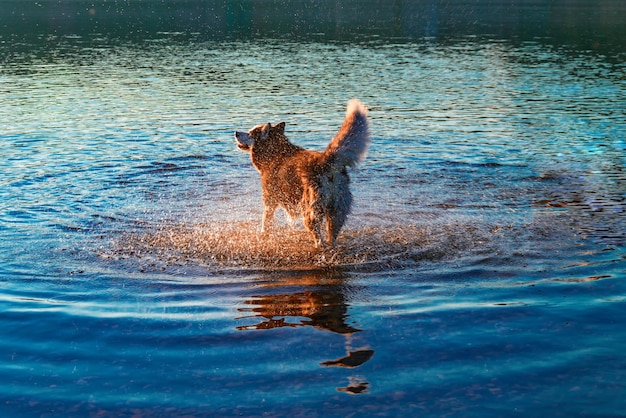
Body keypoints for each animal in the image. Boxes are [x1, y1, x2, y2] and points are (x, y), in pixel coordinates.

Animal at [235, 99, 370, 247]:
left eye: (250, 133)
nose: (236, 132)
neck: (275, 153)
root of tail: (326, 160)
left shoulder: (270, 199)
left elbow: (266, 221)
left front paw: (263, 233)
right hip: (337, 210)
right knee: (332, 236)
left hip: (309, 208)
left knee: (318, 236)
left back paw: (318, 245)